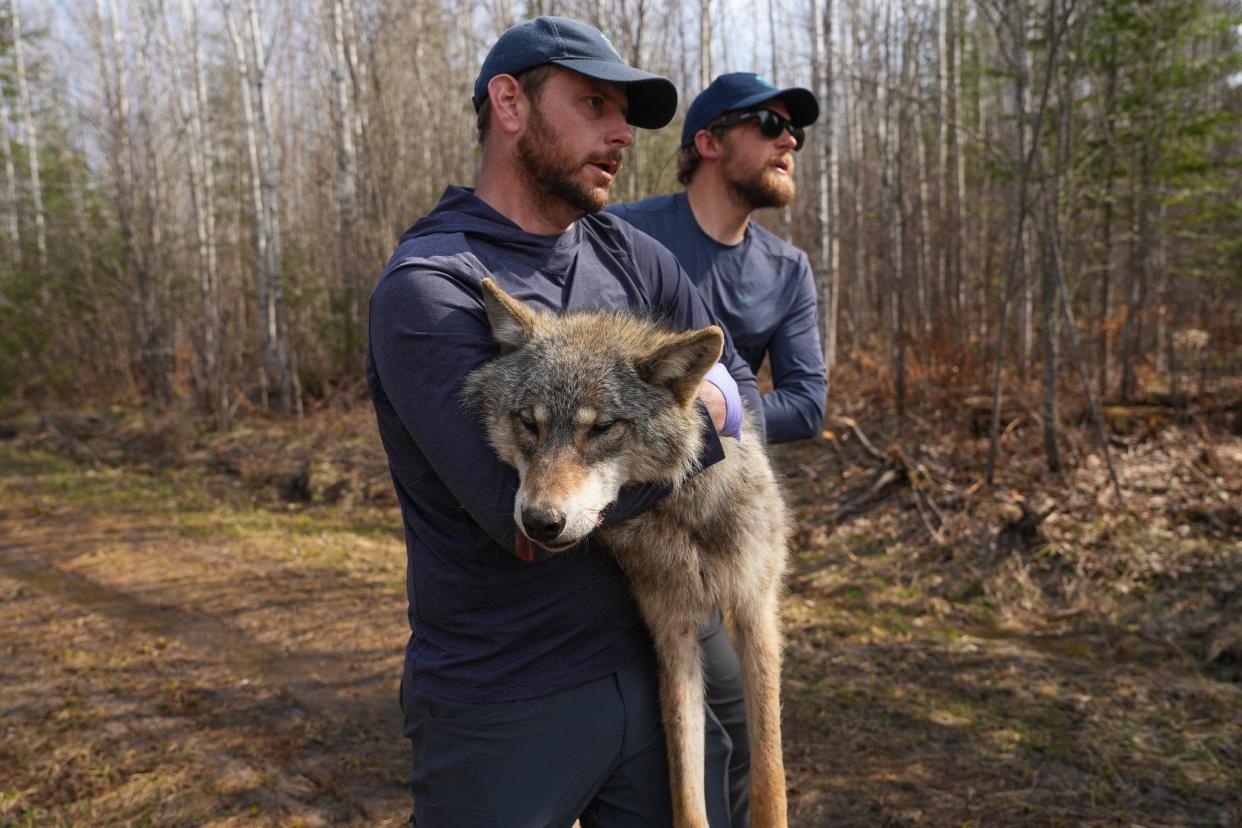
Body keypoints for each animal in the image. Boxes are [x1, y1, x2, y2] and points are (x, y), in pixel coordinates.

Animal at [462, 280, 789, 828]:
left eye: (601, 428)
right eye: (529, 423)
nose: (539, 522)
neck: (680, 517)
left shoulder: (754, 613)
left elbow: (769, 777)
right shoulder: (672, 635)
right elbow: (686, 794)